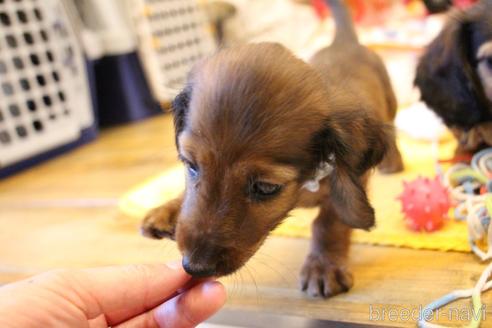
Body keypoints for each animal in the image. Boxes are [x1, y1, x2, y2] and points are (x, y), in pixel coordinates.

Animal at [142, 0, 404, 298]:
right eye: (191, 165)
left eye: (266, 187)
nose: (195, 266)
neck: (304, 185)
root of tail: (345, 43)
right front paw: (167, 208)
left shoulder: (348, 182)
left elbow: (329, 222)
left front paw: (323, 266)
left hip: (390, 102)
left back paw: (393, 161)